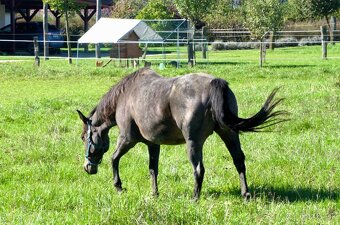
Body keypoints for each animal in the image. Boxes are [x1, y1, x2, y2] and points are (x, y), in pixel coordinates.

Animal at [76, 67, 284, 200]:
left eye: (84, 137)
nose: (88, 167)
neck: (125, 96)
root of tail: (214, 82)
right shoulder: (153, 144)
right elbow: (153, 169)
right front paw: (154, 194)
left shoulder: (127, 139)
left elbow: (114, 159)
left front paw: (118, 186)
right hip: (229, 134)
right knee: (239, 161)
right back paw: (245, 193)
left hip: (193, 143)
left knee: (199, 169)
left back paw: (194, 197)